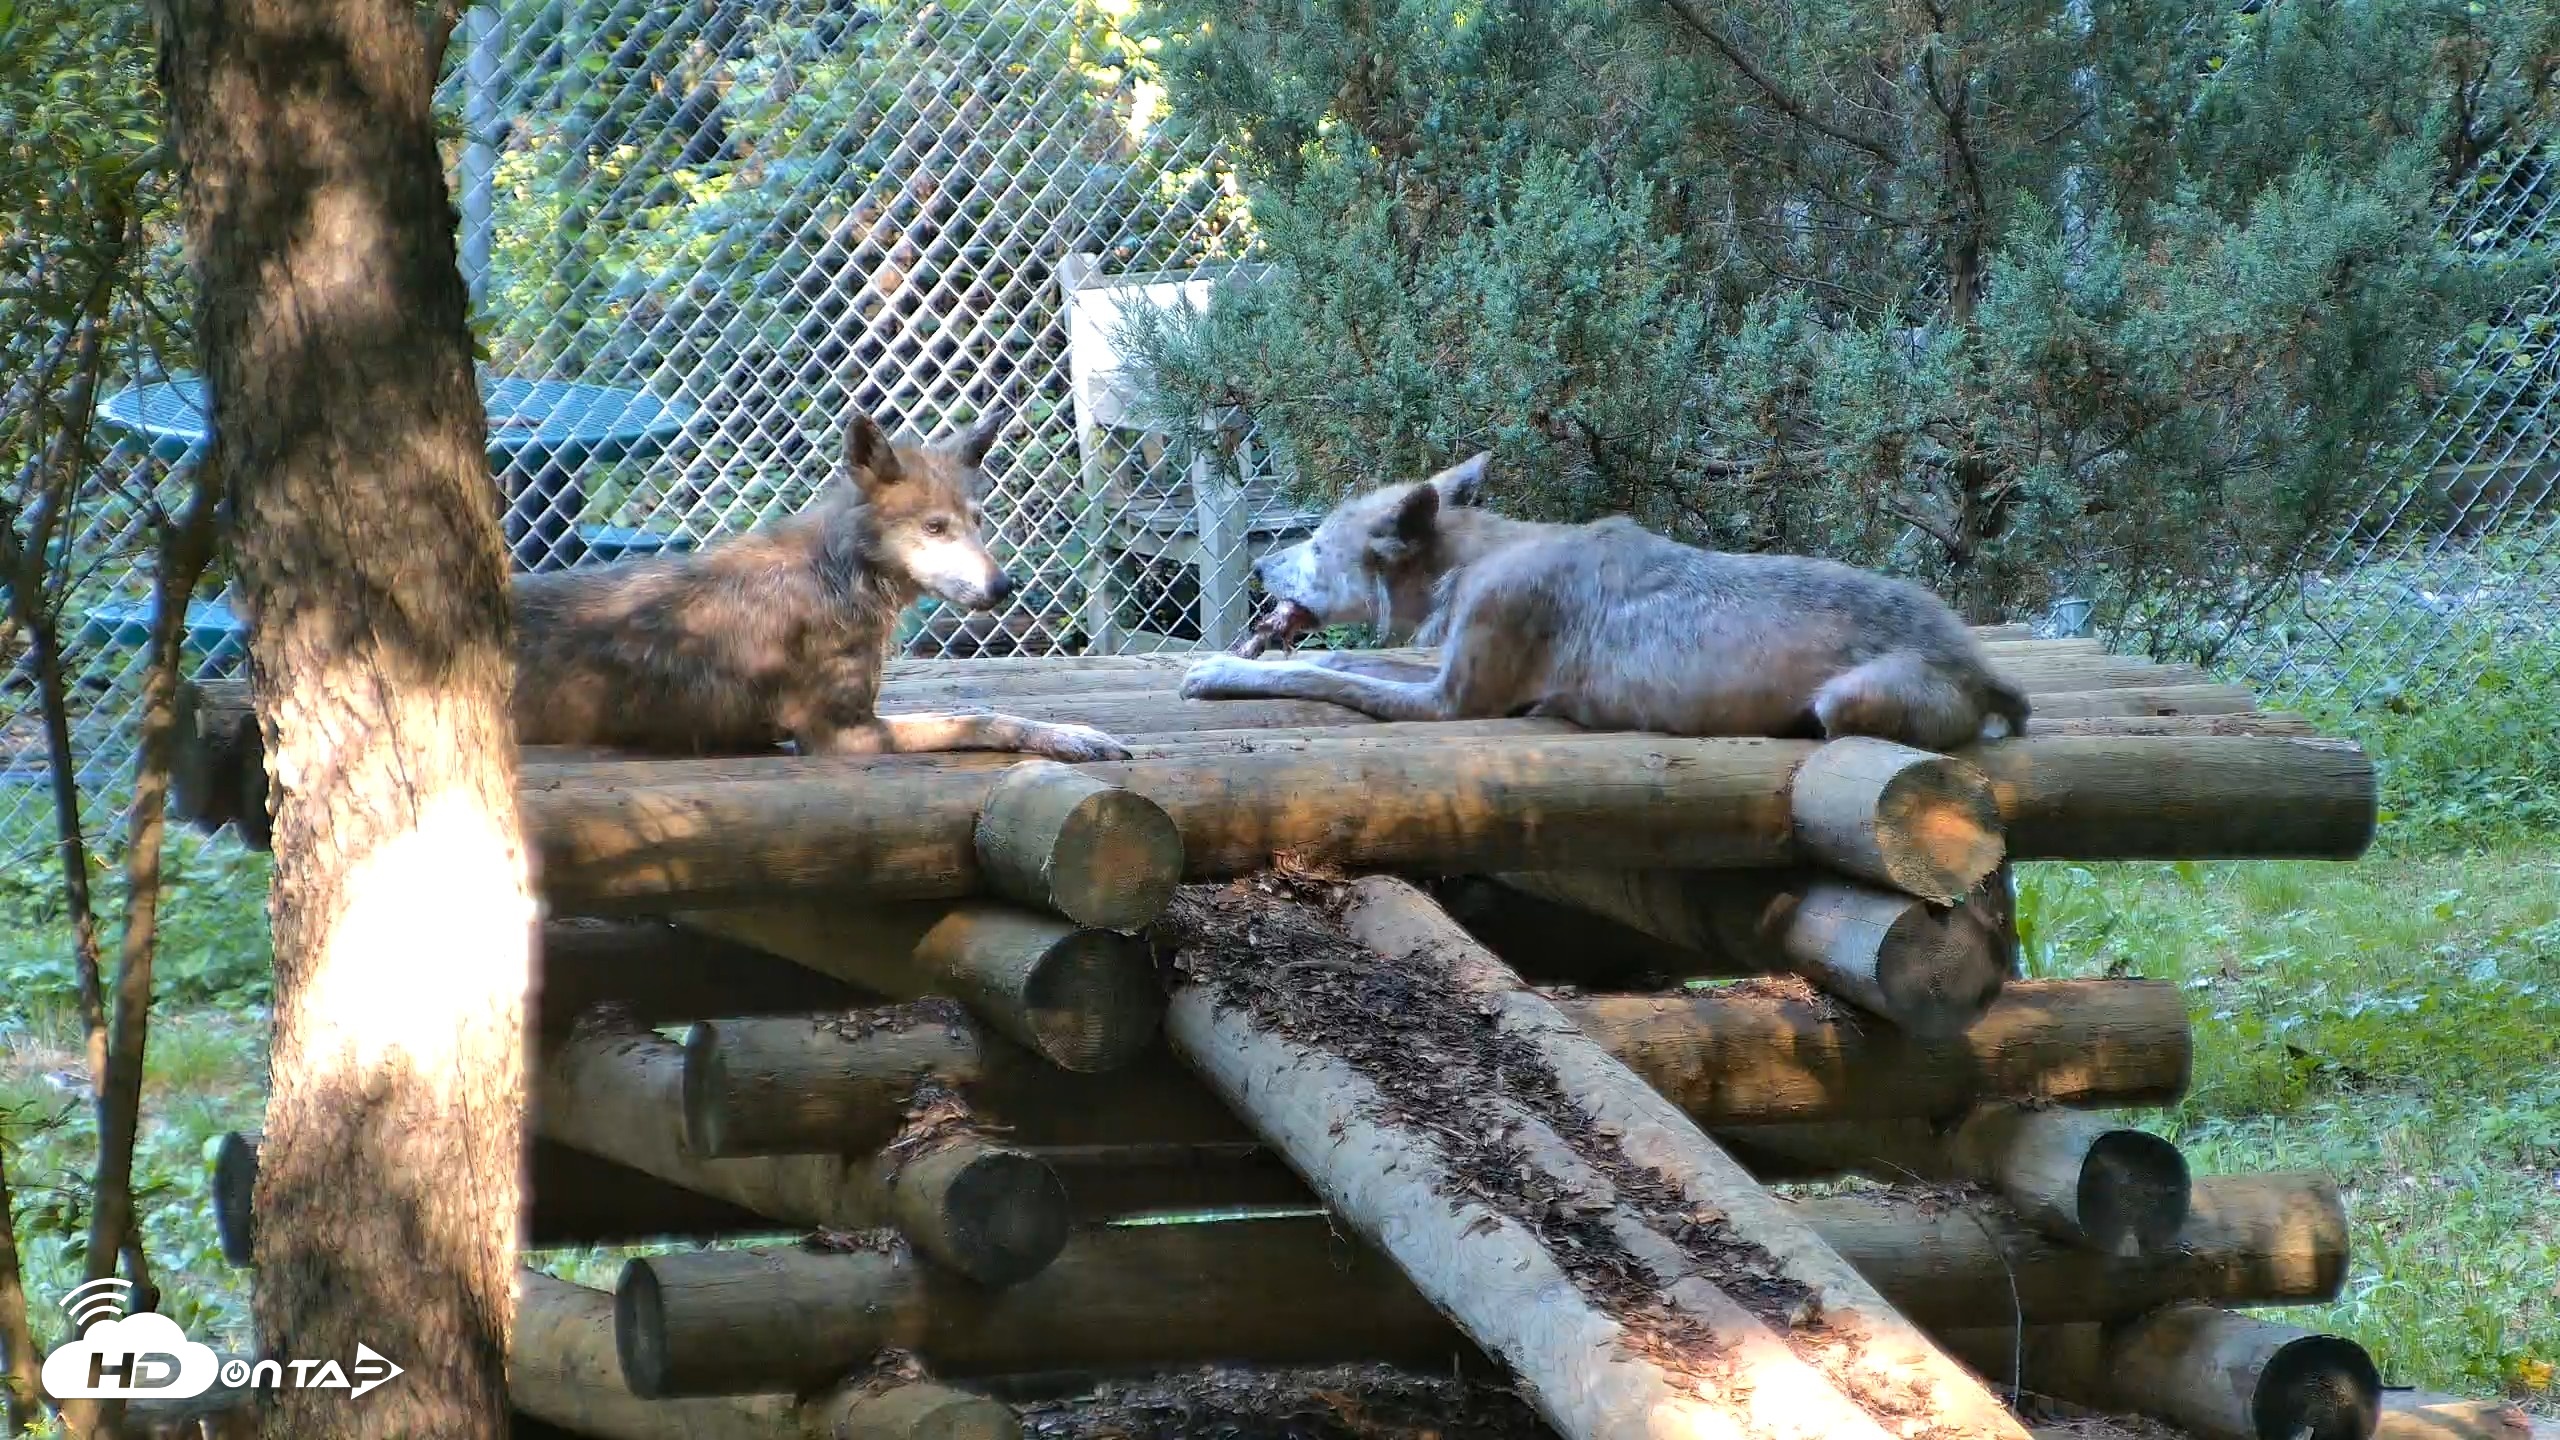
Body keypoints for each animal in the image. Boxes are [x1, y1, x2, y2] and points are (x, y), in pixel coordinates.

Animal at [512, 411, 1130, 761]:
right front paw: (1074, 736)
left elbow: (979, 708)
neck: (837, 576)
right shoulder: (842, 735)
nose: (1003, 586)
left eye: (978, 521)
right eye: (935, 527)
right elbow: (982, 717)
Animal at [1180, 453, 2030, 751]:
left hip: (1845, 701)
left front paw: (1219, 671)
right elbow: (1347, 663)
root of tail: (1979, 666)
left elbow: (1318, 672)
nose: (1261, 567)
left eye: (1317, 546)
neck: (1483, 557)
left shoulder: (1452, 703)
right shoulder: (1442, 671)